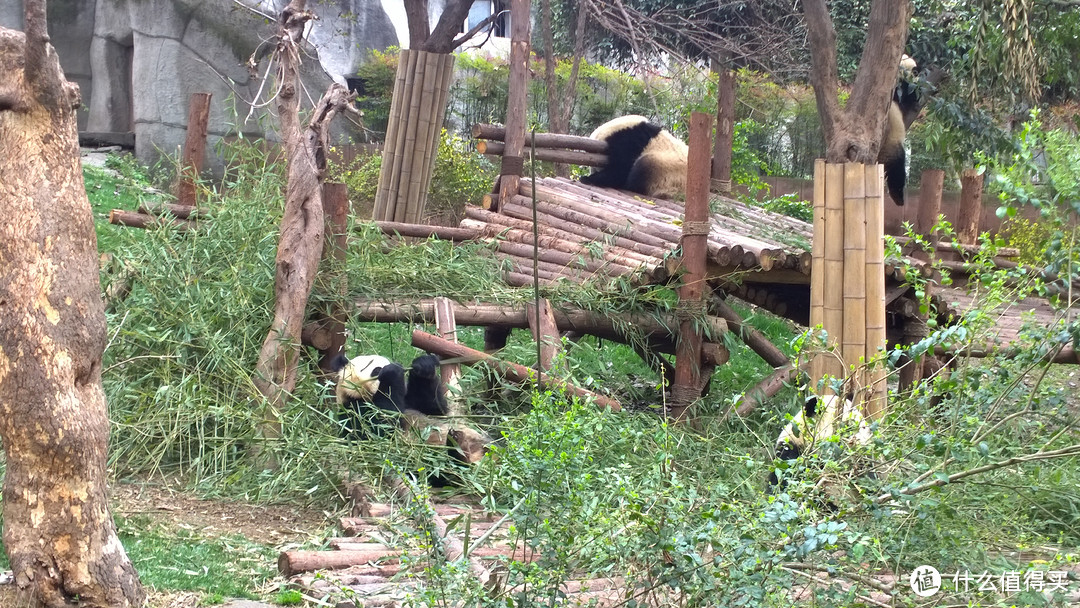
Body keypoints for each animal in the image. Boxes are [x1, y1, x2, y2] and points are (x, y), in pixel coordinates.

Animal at [876, 55, 920, 207]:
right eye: (915, 72)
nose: (917, 78)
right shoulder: (898, 88)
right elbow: (909, 96)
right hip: (891, 145)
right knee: (897, 168)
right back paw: (898, 197)